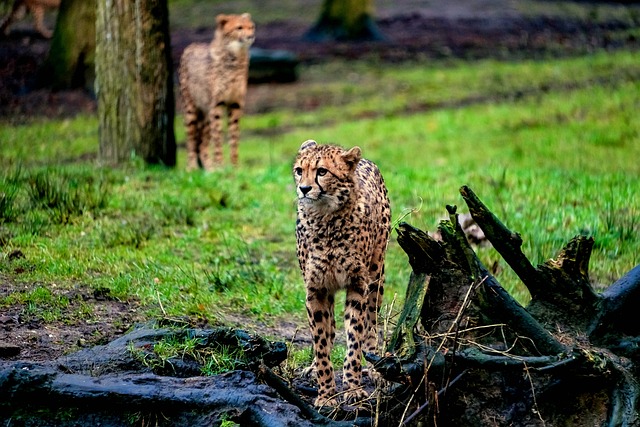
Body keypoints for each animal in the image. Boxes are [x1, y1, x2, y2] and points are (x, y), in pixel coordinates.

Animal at [179, 13, 254, 171]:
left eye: (251, 27)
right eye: (239, 27)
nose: (251, 36)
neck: (234, 57)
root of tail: (191, 45)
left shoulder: (235, 104)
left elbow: (233, 137)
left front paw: (234, 167)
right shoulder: (217, 105)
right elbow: (218, 137)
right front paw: (220, 166)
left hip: (206, 112)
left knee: (202, 143)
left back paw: (209, 168)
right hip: (191, 109)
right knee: (191, 139)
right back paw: (192, 167)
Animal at [294, 140, 392, 408]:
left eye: (322, 171)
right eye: (299, 170)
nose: (303, 189)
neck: (326, 218)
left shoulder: (358, 284)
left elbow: (355, 336)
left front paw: (353, 388)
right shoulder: (316, 289)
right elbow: (321, 341)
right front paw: (326, 393)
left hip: (376, 275)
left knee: (371, 322)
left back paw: (375, 366)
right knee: (329, 329)